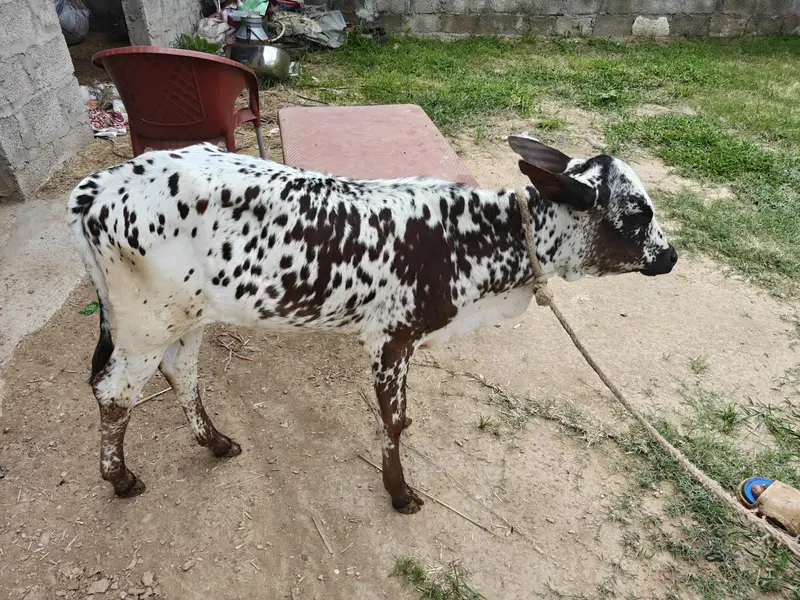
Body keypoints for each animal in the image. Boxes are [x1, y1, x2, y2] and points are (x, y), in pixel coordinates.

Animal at [67, 135, 677, 513]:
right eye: (637, 213)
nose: (670, 256)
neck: (474, 238)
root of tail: (95, 187)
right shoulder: (392, 338)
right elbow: (394, 421)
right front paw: (400, 494)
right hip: (143, 324)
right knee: (114, 391)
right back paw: (121, 479)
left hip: (187, 316)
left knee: (182, 373)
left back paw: (216, 443)